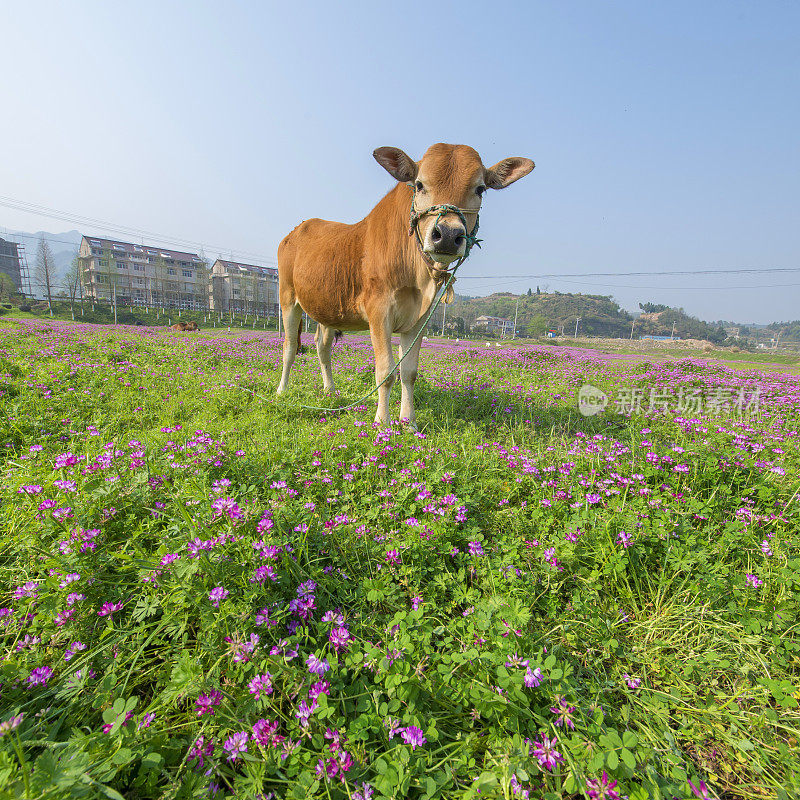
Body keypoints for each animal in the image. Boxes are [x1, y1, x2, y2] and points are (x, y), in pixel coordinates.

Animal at [278, 146, 536, 428]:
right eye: (420, 184)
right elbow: (386, 370)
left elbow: (408, 372)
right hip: (288, 298)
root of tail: (296, 230)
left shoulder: (418, 318)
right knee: (289, 347)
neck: (418, 279)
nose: (447, 235)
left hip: (327, 307)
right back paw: (282, 391)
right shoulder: (379, 312)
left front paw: (409, 422)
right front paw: (382, 422)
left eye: (480, 189)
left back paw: (330, 390)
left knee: (322, 347)